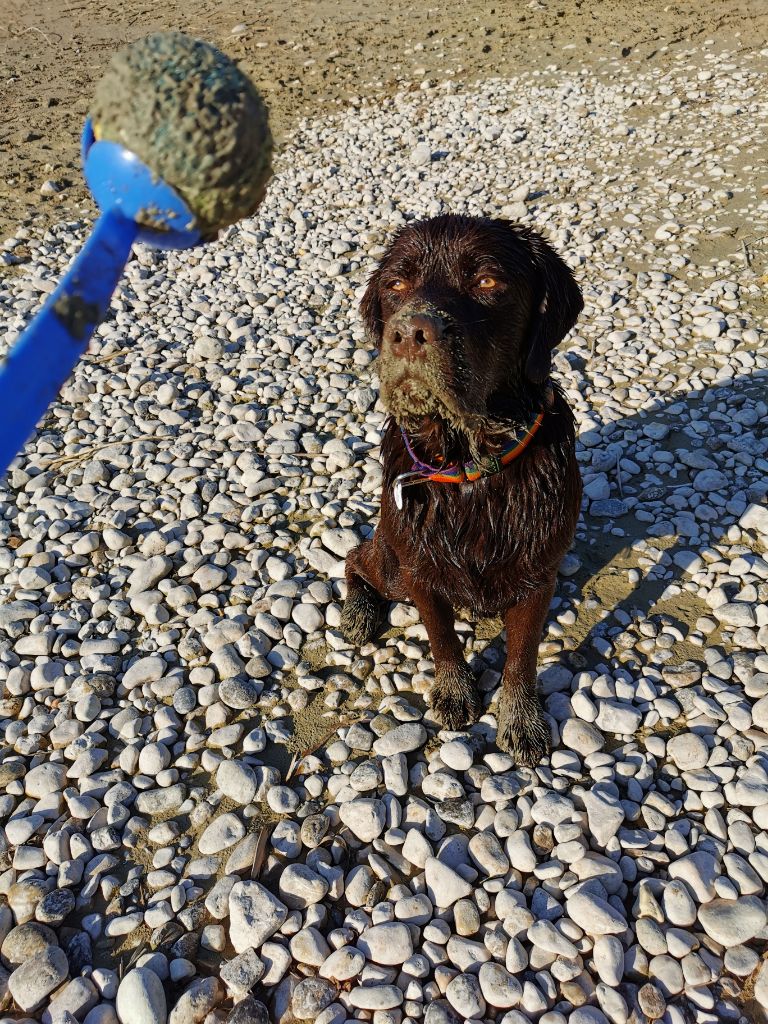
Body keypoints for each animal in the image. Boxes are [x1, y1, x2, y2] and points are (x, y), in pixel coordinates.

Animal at [342, 211, 581, 765]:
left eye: (487, 282)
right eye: (395, 285)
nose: (409, 330)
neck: (470, 464)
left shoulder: (537, 577)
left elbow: (522, 657)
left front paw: (521, 719)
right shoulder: (419, 569)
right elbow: (442, 637)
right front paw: (454, 692)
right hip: (391, 562)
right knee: (356, 557)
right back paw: (358, 611)